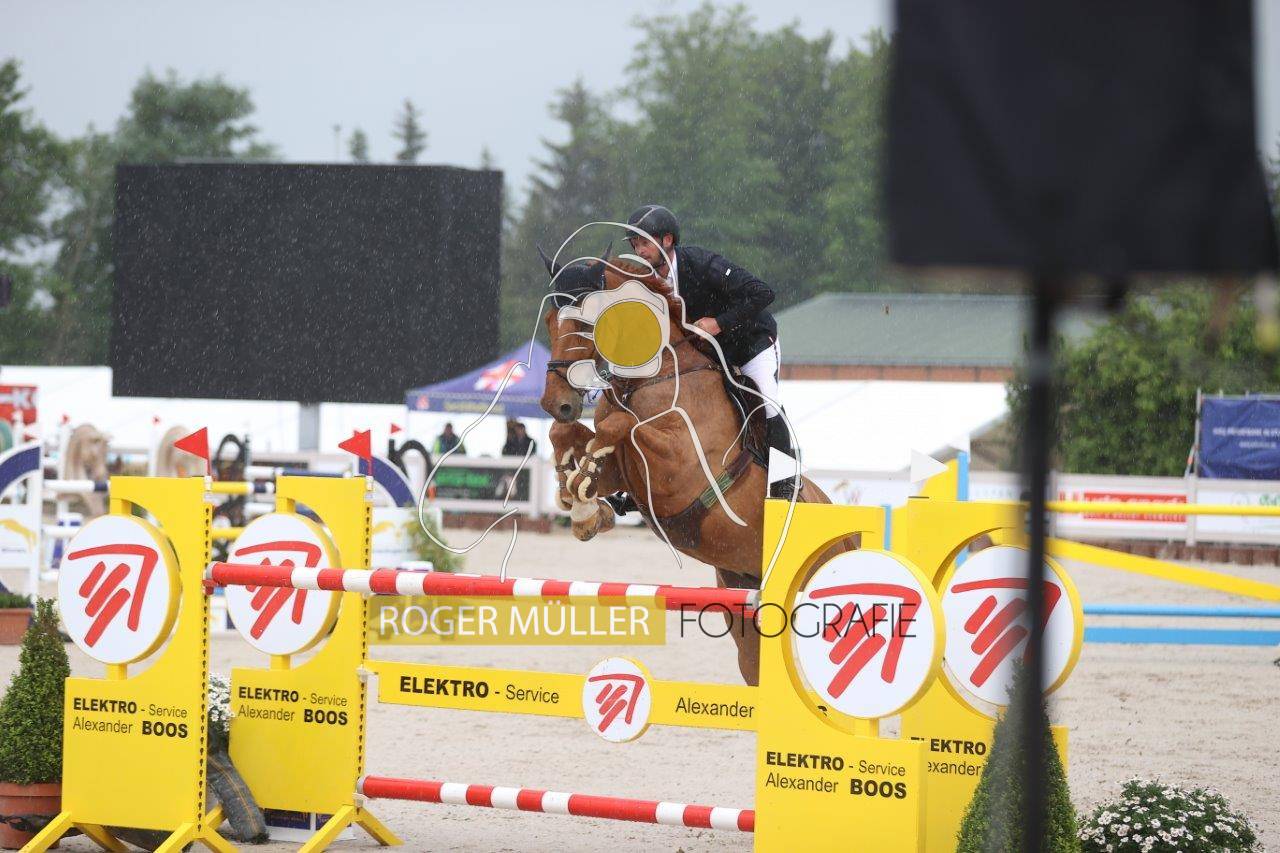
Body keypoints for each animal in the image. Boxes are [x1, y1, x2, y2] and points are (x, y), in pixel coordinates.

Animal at [539, 254, 854, 685]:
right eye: (549, 322)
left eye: (584, 323)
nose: (556, 403)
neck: (653, 377)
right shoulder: (624, 470)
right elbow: (570, 436)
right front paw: (585, 507)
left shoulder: (681, 469)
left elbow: (620, 426)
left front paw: (586, 506)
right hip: (745, 608)